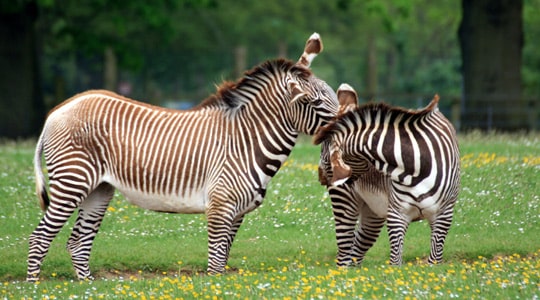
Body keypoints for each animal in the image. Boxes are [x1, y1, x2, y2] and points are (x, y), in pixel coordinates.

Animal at [28, 32, 338, 282]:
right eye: (313, 102)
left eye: (334, 96)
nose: (345, 122)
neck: (245, 140)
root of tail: (60, 108)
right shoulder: (220, 206)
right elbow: (215, 265)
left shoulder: (236, 213)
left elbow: (223, 259)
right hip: (73, 182)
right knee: (39, 238)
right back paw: (34, 286)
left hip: (98, 189)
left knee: (77, 243)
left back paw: (89, 286)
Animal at [316, 85, 460, 268]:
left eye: (325, 156)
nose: (321, 179)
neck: (415, 165)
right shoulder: (397, 215)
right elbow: (395, 260)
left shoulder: (444, 215)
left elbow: (434, 259)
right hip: (345, 202)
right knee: (344, 252)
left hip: (373, 212)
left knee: (356, 249)